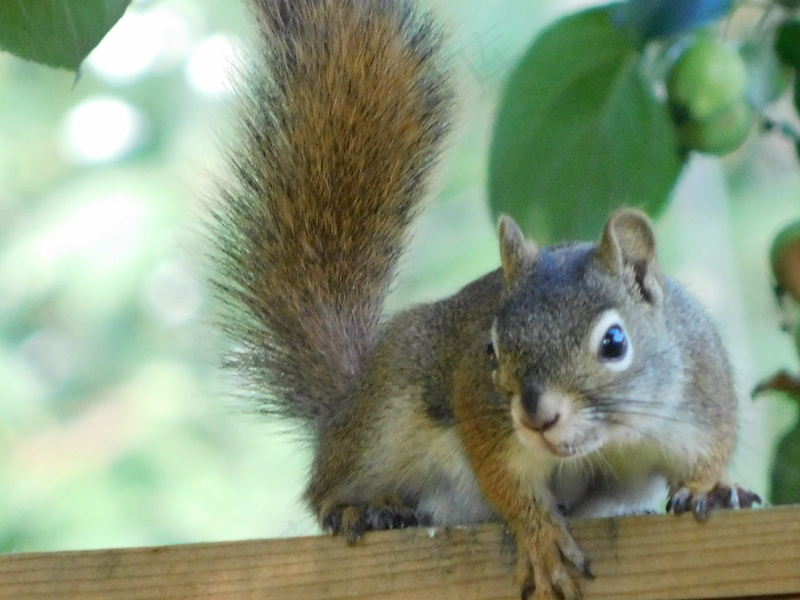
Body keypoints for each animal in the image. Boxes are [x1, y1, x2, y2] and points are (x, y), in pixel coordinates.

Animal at [211, 0, 764, 596]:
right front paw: (541, 540)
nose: (536, 415)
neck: (606, 441)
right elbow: (507, 485)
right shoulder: (482, 411)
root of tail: (346, 402)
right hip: (382, 416)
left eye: (615, 342)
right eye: (492, 350)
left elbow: (708, 453)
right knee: (327, 488)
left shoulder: (701, 393)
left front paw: (713, 489)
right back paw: (361, 507)